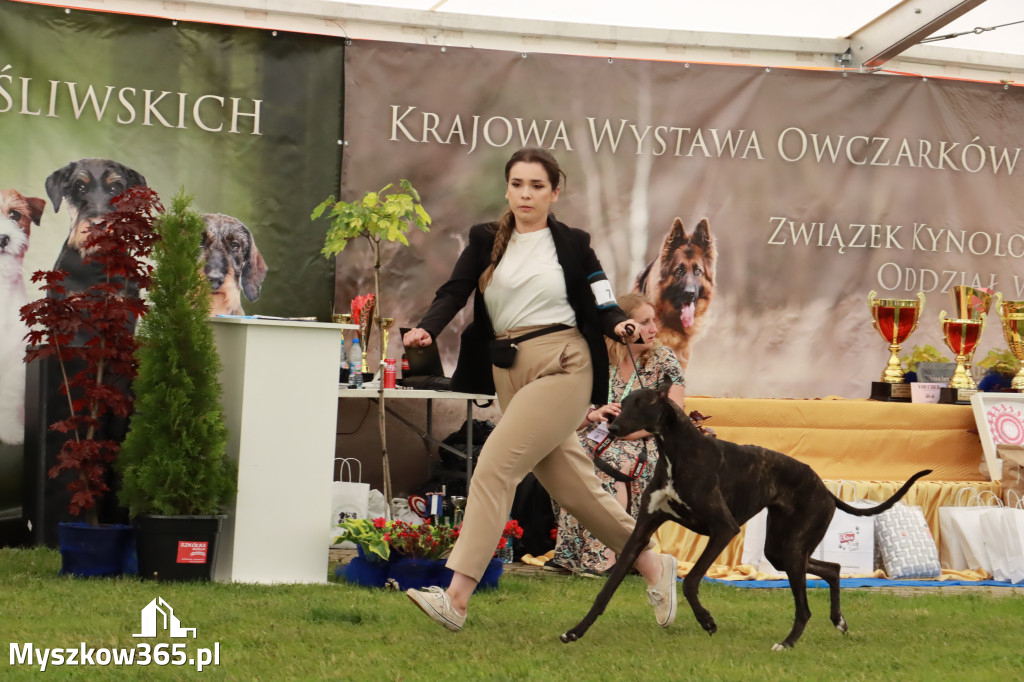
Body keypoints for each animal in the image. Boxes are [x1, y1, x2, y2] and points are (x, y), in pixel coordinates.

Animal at [565, 376, 933, 647]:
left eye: (643, 404)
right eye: (623, 403)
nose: (612, 429)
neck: (678, 453)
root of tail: (823, 487)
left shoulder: (724, 529)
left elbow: (691, 581)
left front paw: (707, 621)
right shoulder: (644, 528)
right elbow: (607, 589)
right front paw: (575, 631)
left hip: (794, 546)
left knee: (805, 606)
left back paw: (787, 643)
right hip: (781, 550)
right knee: (832, 567)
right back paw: (837, 621)